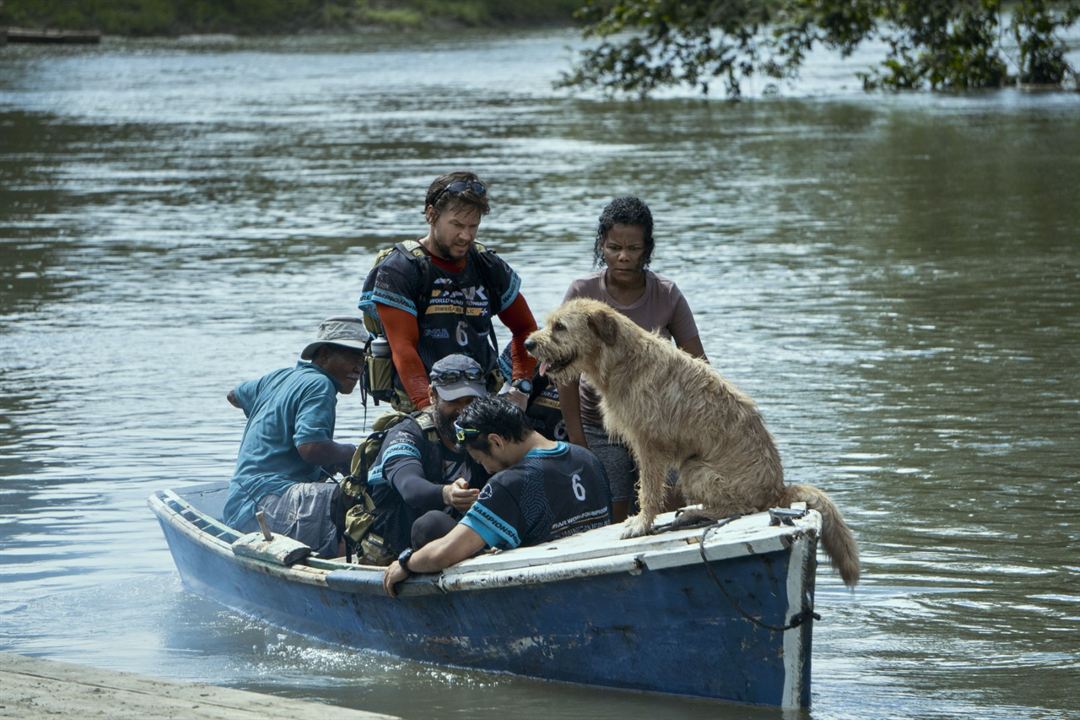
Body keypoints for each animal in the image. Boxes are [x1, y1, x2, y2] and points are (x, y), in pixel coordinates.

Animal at [522, 297, 859, 587]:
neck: (622, 360)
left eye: (560, 326)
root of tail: (779, 489)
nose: (528, 344)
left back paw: (698, 513)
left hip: (695, 469)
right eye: (549, 323)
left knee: (743, 507)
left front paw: (640, 524)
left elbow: (648, 490)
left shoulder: (648, 443)